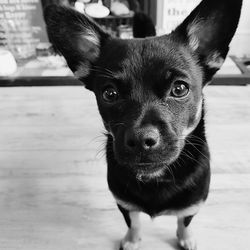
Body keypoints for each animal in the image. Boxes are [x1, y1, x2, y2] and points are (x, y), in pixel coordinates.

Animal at [44, 0, 241, 249]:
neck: (155, 178)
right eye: (109, 94)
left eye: (180, 89)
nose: (140, 139)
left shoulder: (192, 205)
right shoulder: (124, 204)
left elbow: (184, 221)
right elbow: (134, 222)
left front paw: (185, 238)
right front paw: (132, 240)